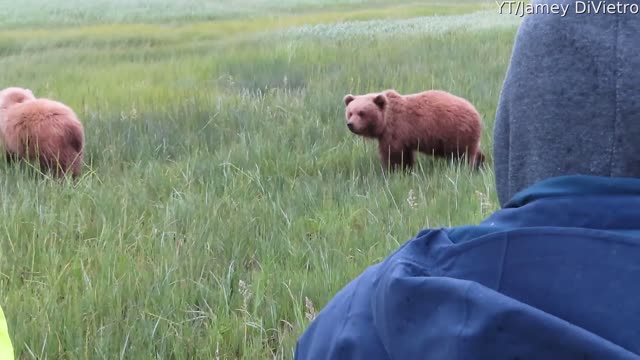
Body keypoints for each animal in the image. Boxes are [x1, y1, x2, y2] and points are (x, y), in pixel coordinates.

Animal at [344, 88, 484, 171]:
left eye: (362, 113)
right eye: (350, 113)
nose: (350, 124)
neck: (385, 121)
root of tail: (476, 112)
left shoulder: (396, 131)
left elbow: (394, 154)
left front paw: (394, 170)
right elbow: (404, 155)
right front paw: (406, 170)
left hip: (456, 132)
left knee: (463, 155)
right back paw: (481, 163)